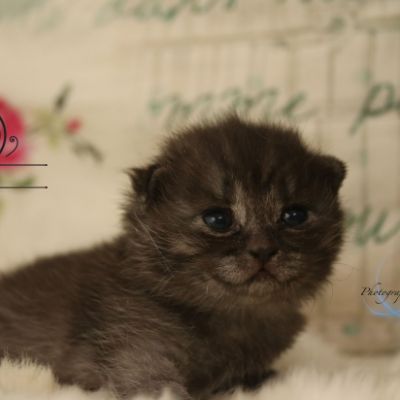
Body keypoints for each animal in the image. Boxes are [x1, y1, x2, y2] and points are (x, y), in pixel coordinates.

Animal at [0, 115, 346, 399]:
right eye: (218, 219)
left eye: (295, 216)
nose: (263, 249)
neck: (231, 315)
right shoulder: (136, 351)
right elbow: (159, 387)